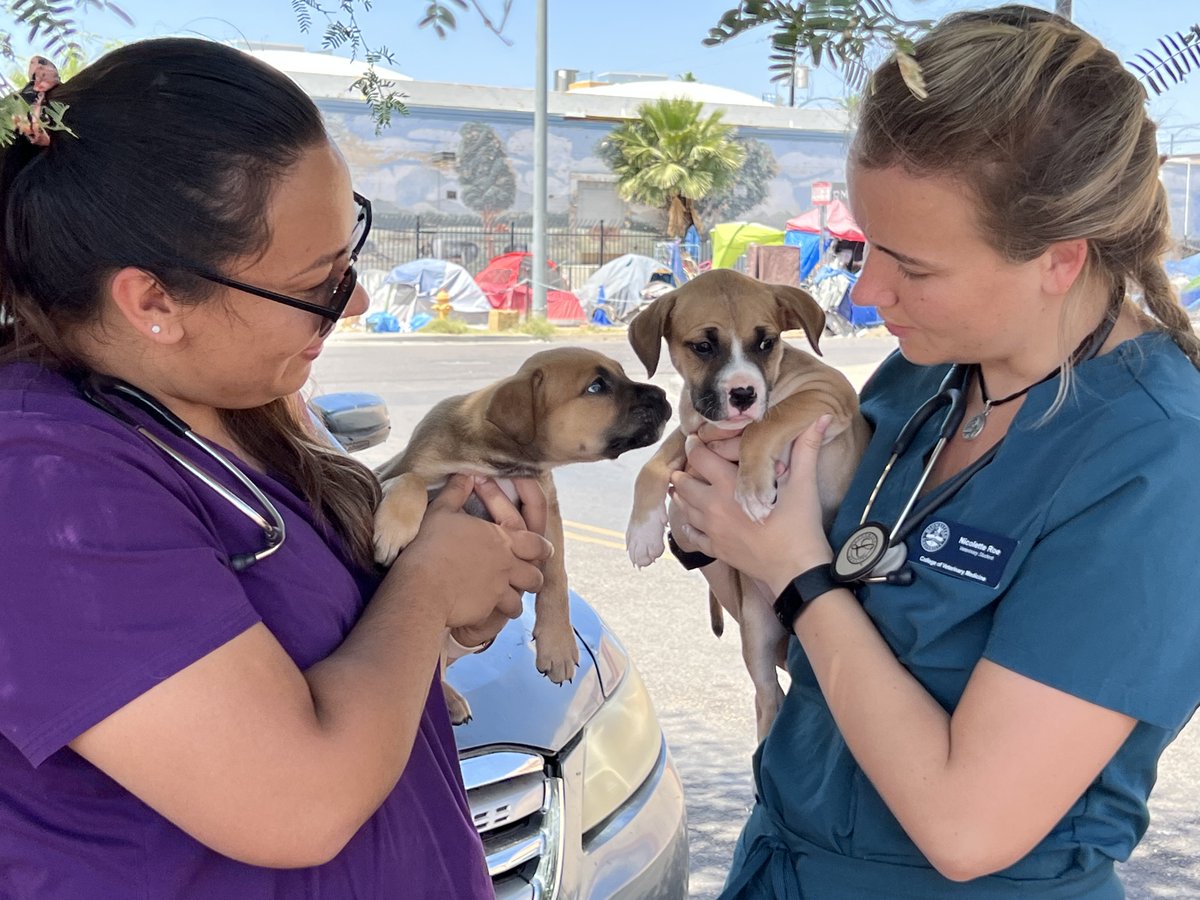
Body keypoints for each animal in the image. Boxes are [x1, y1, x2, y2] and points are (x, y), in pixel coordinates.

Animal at [374, 348, 672, 724]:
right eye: (596, 387)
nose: (664, 397)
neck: (502, 456)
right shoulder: (392, 472)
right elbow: (410, 479)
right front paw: (394, 529)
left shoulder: (547, 511)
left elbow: (556, 576)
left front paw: (558, 644)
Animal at [624, 271, 868, 744]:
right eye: (703, 346)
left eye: (767, 342)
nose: (742, 393)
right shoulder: (695, 430)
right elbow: (653, 463)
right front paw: (642, 533)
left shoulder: (827, 395)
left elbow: (768, 421)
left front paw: (752, 487)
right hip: (756, 635)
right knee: (769, 697)